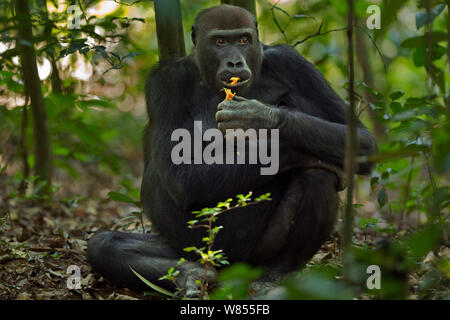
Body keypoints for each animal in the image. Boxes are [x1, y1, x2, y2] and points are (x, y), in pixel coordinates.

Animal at [87, 4, 376, 296]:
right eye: (220, 42)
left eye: (244, 40)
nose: (235, 63)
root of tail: (232, 272)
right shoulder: (166, 81)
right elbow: (180, 173)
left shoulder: (292, 62)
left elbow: (362, 141)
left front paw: (263, 117)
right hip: (193, 251)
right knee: (103, 245)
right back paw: (189, 275)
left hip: (253, 260)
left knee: (317, 176)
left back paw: (277, 275)